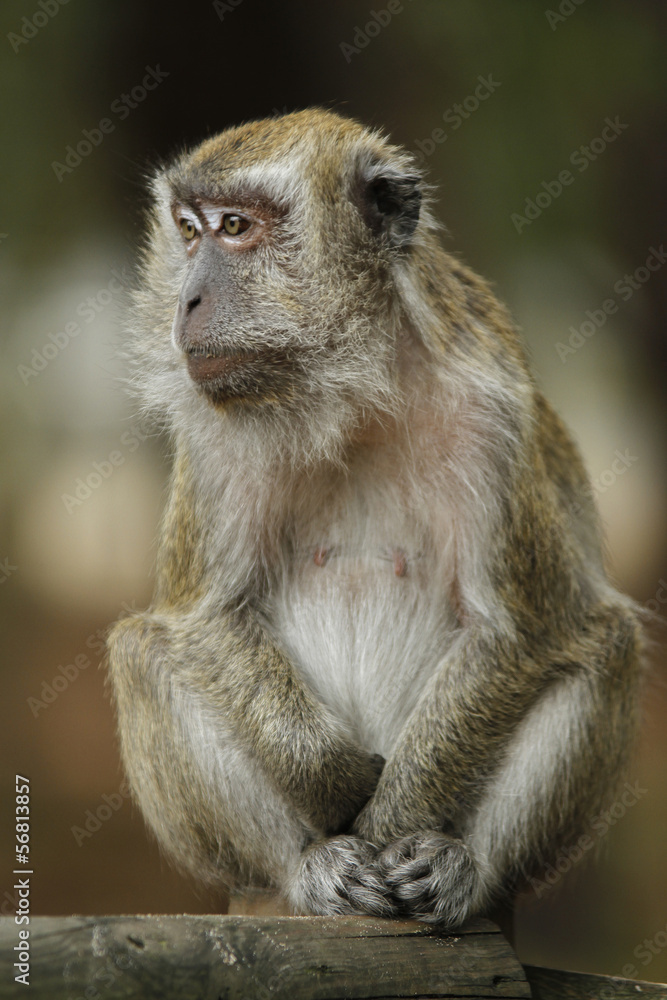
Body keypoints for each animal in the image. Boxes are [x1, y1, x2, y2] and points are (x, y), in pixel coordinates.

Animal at [107, 108, 643, 928]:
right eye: (189, 231)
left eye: (237, 227)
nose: (185, 303)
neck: (355, 393)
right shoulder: (215, 435)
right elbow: (207, 619)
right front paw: (338, 782)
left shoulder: (491, 416)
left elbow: (518, 633)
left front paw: (394, 818)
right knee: (143, 652)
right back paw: (307, 867)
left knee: (603, 645)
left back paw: (463, 871)